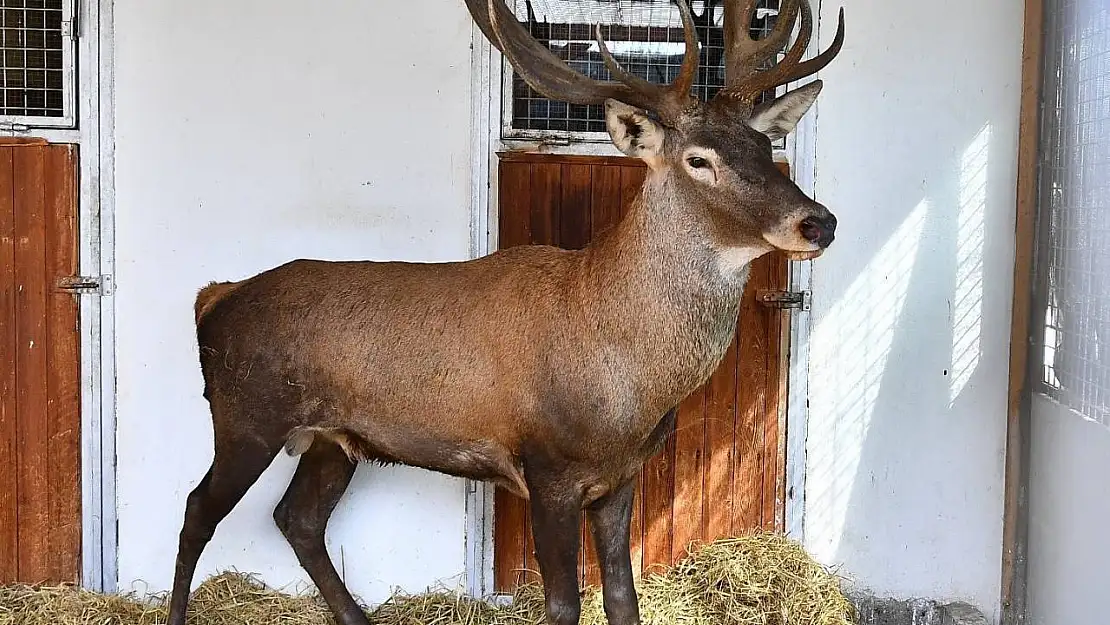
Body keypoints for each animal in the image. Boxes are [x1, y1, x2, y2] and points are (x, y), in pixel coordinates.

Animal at [162, 1, 839, 625]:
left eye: (763, 144)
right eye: (699, 159)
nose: (819, 222)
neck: (628, 384)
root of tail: (213, 297)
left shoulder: (622, 476)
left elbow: (623, 599)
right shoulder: (548, 468)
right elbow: (564, 605)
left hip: (333, 439)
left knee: (296, 518)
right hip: (246, 415)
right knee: (198, 510)